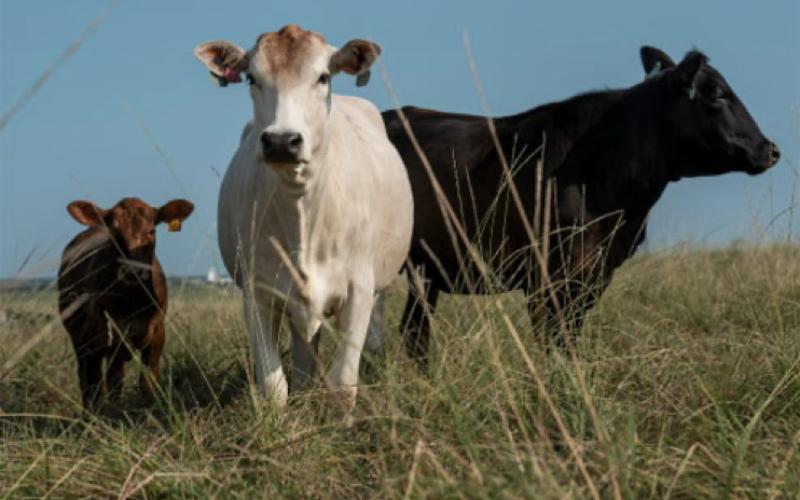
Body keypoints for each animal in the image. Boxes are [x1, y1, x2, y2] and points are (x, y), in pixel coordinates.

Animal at [57, 197, 194, 409]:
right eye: (114, 234)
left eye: (152, 231)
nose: (132, 270)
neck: (133, 301)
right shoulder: (108, 336)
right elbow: (110, 385)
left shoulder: (158, 333)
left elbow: (148, 381)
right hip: (81, 339)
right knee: (89, 381)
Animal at [193, 25, 413, 409]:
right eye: (252, 77)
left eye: (323, 77)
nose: (282, 141)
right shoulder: (256, 293)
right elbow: (274, 387)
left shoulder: (359, 289)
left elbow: (343, 384)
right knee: (305, 357)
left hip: (378, 289)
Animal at [381, 47, 780, 366]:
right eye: (717, 94)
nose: (770, 149)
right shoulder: (547, 276)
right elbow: (555, 347)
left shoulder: (595, 273)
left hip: (424, 271)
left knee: (414, 333)